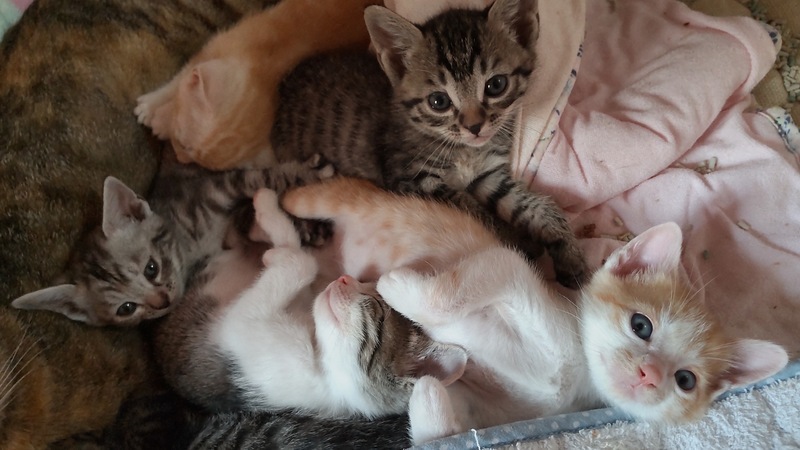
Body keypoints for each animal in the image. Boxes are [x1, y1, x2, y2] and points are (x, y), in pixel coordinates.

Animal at [11, 155, 334, 326]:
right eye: (126, 308)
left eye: (151, 268)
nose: (162, 302)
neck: (190, 243)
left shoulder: (219, 187)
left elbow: (262, 178)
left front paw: (306, 174)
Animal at [134, 0, 382, 170]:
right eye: (181, 141)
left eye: (188, 154)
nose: (180, 158)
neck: (267, 63)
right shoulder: (217, 45)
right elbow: (179, 78)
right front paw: (151, 107)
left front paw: (158, 121)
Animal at [375, 222, 789, 444]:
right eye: (641, 325)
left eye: (685, 380)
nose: (650, 375)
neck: (576, 373)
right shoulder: (511, 269)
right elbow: (476, 277)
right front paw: (394, 285)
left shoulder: (490, 411)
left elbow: (440, 436)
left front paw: (428, 394)